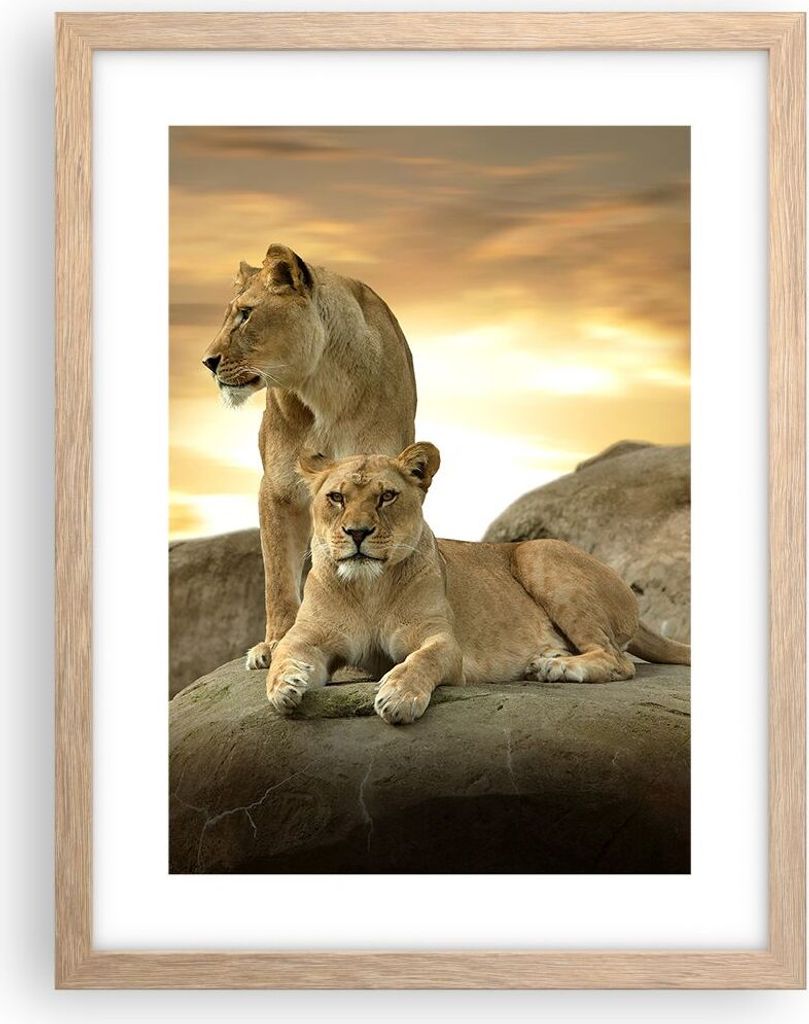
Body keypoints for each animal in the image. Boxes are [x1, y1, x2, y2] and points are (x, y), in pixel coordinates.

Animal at [201, 244, 417, 670]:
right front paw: (275, 643)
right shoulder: (279, 489)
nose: (208, 361)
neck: (323, 386)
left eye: (246, 314)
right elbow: (278, 574)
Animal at [265, 443, 691, 725]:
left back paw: (554, 668)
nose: (357, 532)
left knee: (618, 660)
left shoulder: (441, 640)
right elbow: (285, 652)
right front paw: (284, 684)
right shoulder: (309, 636)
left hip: (539, 554)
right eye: (336, 497)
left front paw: (399, 696)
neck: (368, 588)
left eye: (387, 496)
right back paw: (548, 659)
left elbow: (421, 660)